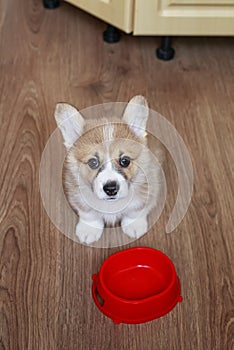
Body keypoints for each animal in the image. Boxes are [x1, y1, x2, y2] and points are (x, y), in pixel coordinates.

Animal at [55, 95, 162, 243]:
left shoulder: (147, 189)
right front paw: (89, 229)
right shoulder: (78, 196)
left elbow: (135, 211)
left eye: (125, 161)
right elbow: (89, 214)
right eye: (93, 162)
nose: (111, 189)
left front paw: (134, 225)